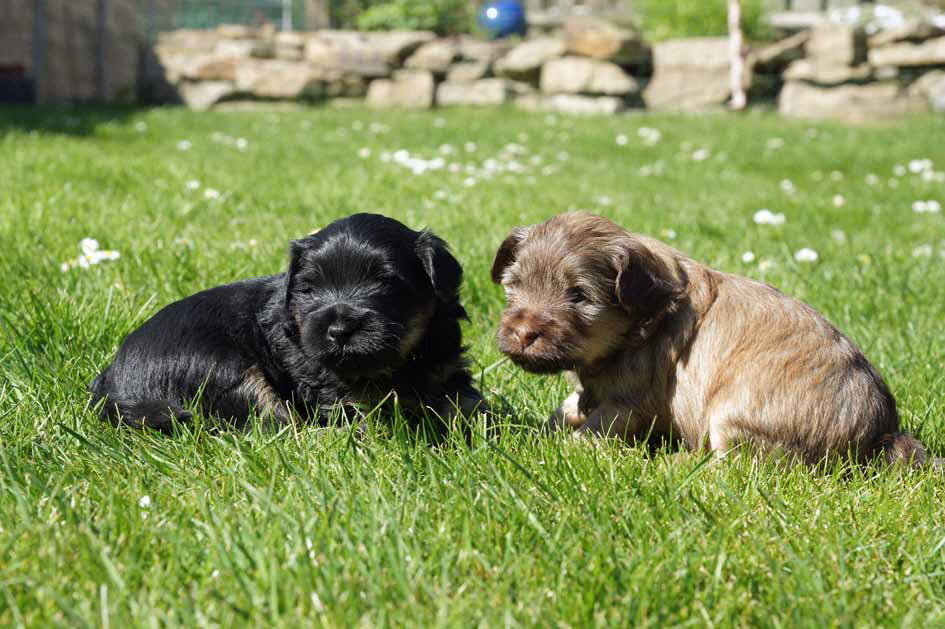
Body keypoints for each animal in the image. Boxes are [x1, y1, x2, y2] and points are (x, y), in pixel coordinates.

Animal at [89, 213, 484, 430]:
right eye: (309, 289)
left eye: (386, 285)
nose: (338, 330)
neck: (401, 365)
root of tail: (112, 385)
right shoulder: (335, 390)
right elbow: (365, 413)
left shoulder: (447, 371)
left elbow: (470, 406)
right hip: (222, 368)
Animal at [494, 213, 928, 464]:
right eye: (514, 285)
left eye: (579, 296)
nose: (521, 332)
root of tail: (882, 433)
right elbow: (565, 409)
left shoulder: (628, 401)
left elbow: (591, 431)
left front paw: (552, 449)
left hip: (735, 412)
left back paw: (676, 462)